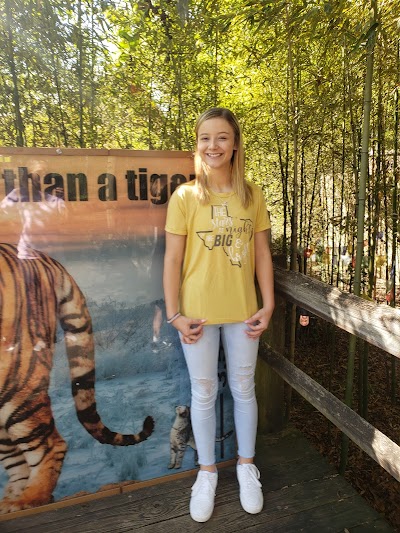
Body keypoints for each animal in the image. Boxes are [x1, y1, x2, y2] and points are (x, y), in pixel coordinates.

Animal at [0, 243, 155, 512]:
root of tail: (44, 257)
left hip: (17, 378)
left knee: (50, 445)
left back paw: (29, 500)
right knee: (17, 461)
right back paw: (11, 503)